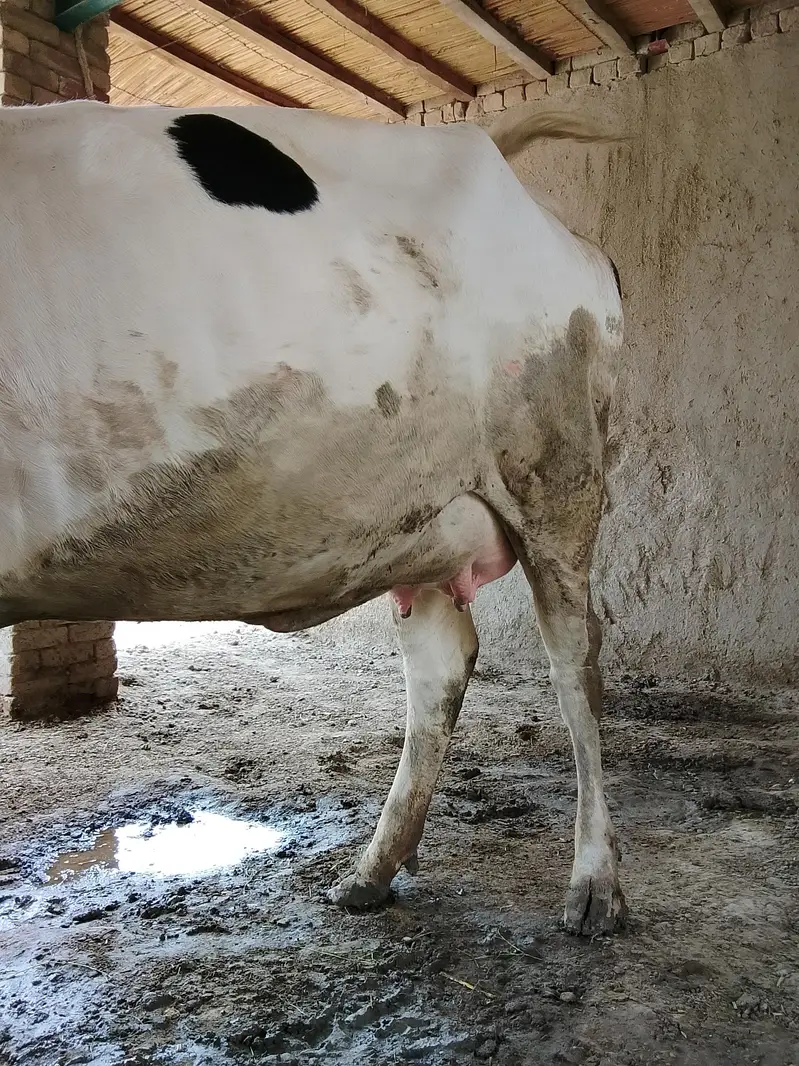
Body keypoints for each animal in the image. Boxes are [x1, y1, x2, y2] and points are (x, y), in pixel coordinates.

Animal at [0, 101, 625, 935]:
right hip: (415, 518)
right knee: (439, 665)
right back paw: (372, 870)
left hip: (555, 473)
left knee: (575, 667)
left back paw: (594, 882)